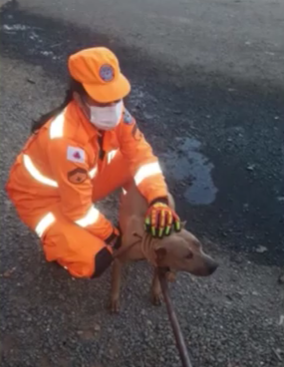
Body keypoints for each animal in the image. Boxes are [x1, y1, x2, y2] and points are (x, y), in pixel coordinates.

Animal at [110, 184, 217, 314]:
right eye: (188, 256)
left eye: (199, 245)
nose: (214, 265)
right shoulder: (119, 259)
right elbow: (116, 282)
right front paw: (114, 299)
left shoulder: (159, 260)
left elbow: (157, 278)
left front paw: (156, 291)